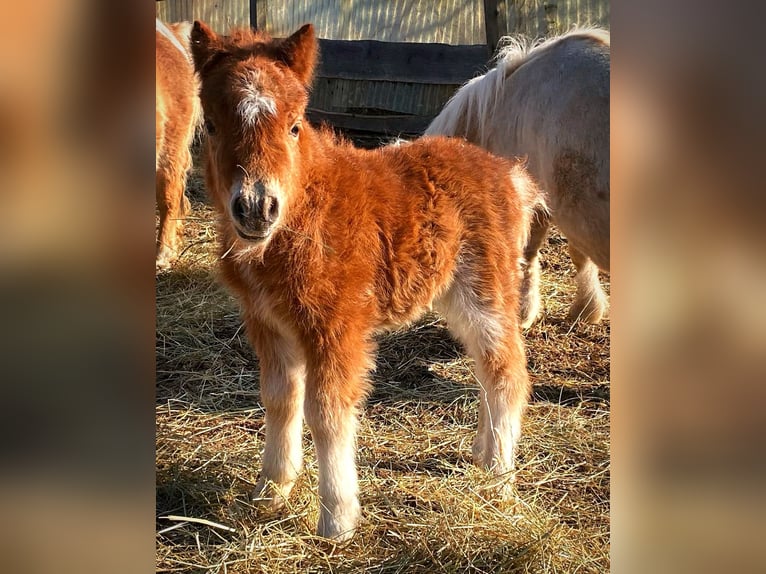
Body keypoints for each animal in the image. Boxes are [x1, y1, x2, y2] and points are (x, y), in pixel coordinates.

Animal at [190, 20, 544, 542]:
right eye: (211, 126)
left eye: (295, 125)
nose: (256, 207)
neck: (303, 216)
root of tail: (508, 174)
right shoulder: (266, 321)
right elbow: (279, 399)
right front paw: (270, 491)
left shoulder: (338, 325)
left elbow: (328, 412)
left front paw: (337, 520)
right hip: (453, 294)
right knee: (486, 367)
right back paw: (482, 456)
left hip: (486, 287)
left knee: (506, 369)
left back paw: (499, 476)